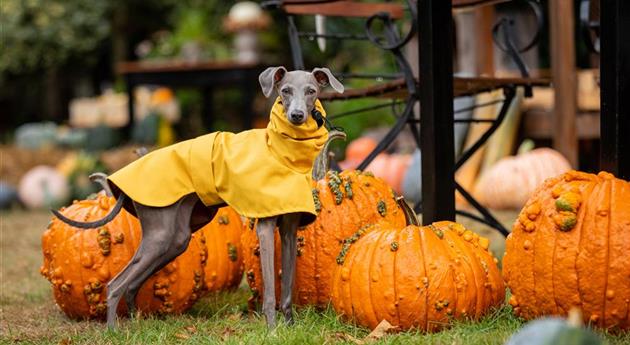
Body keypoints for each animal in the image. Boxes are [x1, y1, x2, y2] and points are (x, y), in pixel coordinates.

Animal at [52, 66, 348, 326]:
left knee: (132, 283)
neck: (281, 152)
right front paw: (273, 330)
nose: (297, 115)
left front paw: (289, 327)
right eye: (285, 91)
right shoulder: (265, 228)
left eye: (311, 91)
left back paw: (136, 325)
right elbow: (270, 293)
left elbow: (286, 289)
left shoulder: (289, 229)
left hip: (175, 238)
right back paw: (115, 331)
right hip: (161, 235)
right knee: (115, 284)